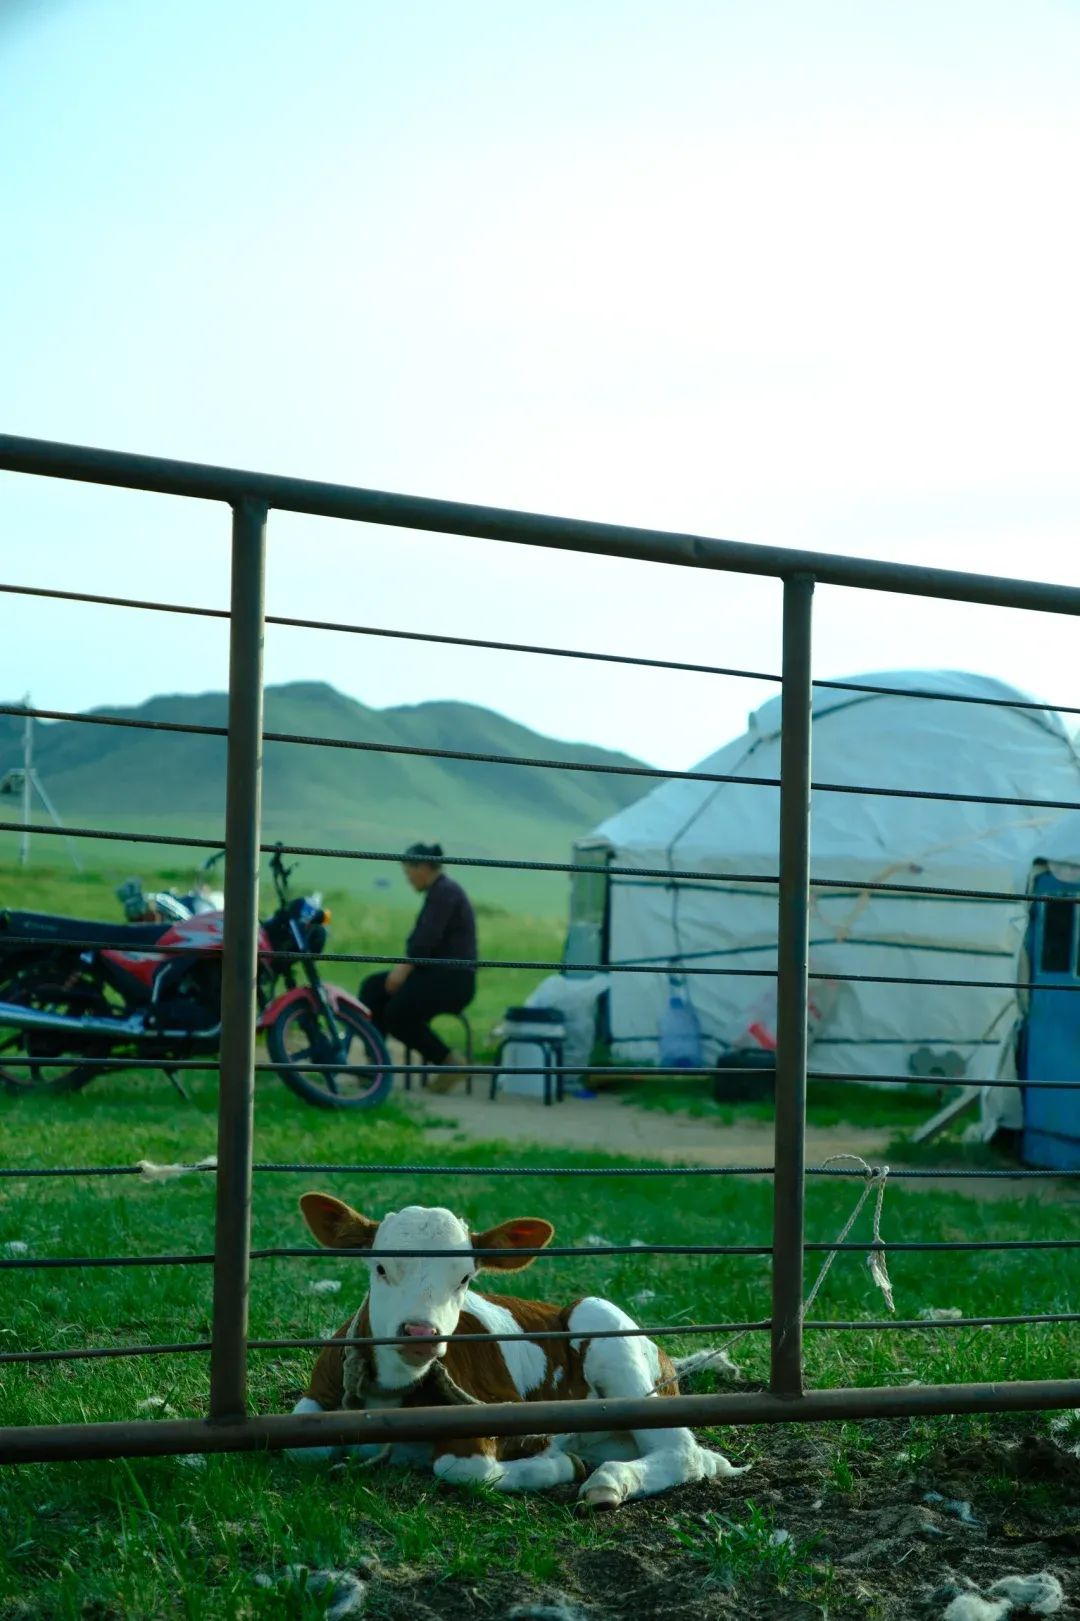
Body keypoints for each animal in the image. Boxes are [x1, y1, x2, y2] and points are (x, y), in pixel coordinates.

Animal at [286, 1193, 747, 1508]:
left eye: (465, 1278)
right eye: (380, 1267)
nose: (420, 1332)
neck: (392, 1394)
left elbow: (464, 1468)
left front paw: (558, 1465)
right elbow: (303, 1447)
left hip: (604, 1325)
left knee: (683, 1453)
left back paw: (607, 1482)